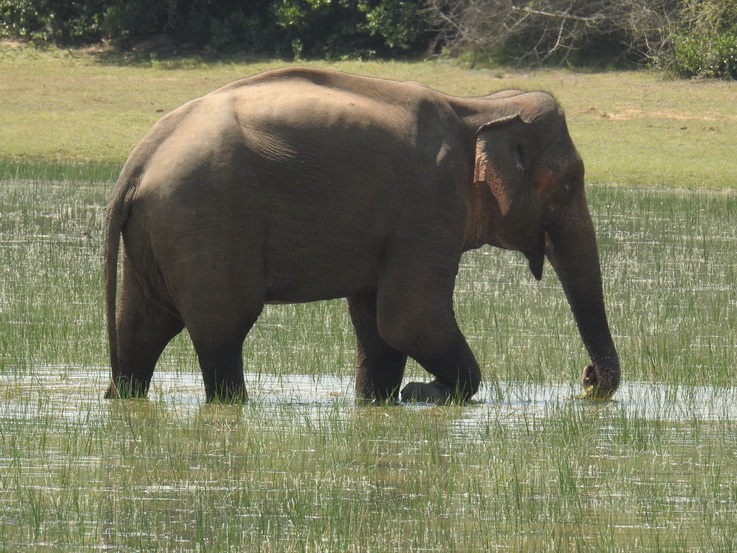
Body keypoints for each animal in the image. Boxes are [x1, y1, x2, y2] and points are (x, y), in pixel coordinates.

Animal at [103, 67, 620, 404]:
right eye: (571, 182)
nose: (587, 379)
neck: (482, 106)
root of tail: (139, 160)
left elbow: (379, 325)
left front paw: (381, 401)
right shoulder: (429, 205)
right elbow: (410, 318)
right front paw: (424, 394)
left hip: (160, 231)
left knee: (142, 328)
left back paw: (121, 396)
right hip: (208, 225)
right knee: (222, 330)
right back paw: (230, 404)